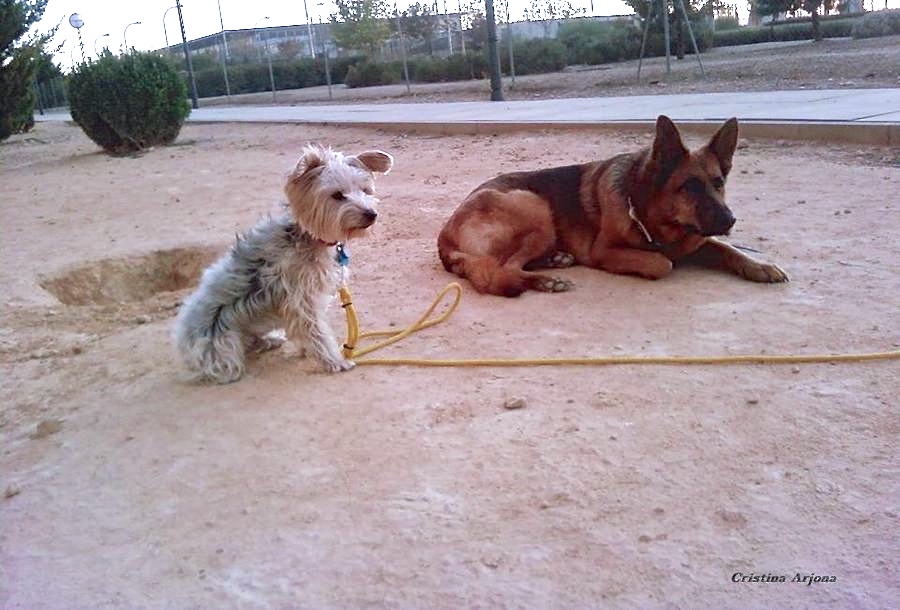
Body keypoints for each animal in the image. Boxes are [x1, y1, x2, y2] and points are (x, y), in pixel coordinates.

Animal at [174, 144, 392, 380]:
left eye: (365, 190)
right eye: (337, 195)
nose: (371, 214)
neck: (307, 236)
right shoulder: (300, 299)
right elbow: (316, 331)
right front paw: (334, 361)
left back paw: (268, 340)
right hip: (222, 343)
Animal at [436, 115, 788, 296]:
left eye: (718, 182)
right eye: (688, 186)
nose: (730, 220)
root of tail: (445, 235)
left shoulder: (699, 240)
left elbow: (728, 249)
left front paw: (761, 266)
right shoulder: (604, 251)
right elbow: (663, 263)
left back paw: (555, 261)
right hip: (535, 207)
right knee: (505, 269)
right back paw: (546, 281)